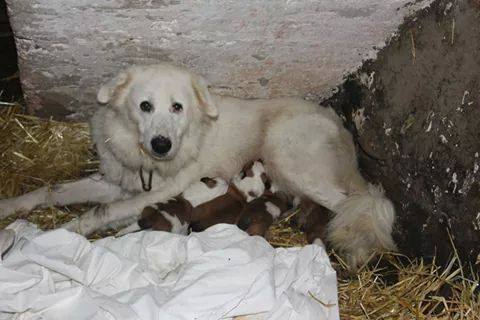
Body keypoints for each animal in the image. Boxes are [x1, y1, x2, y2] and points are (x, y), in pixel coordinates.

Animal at [0, 63, 398, 268]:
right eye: (145, 106)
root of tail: (342, 130)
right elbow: (48, 190)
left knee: (358, 206)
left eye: (177, 107)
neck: (146, 160)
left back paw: (360, 249)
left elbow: (98, 213)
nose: (162, 144)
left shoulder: (157, 192)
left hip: (292, 159)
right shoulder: (116, 180)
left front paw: (51, 238)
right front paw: (10, 206)